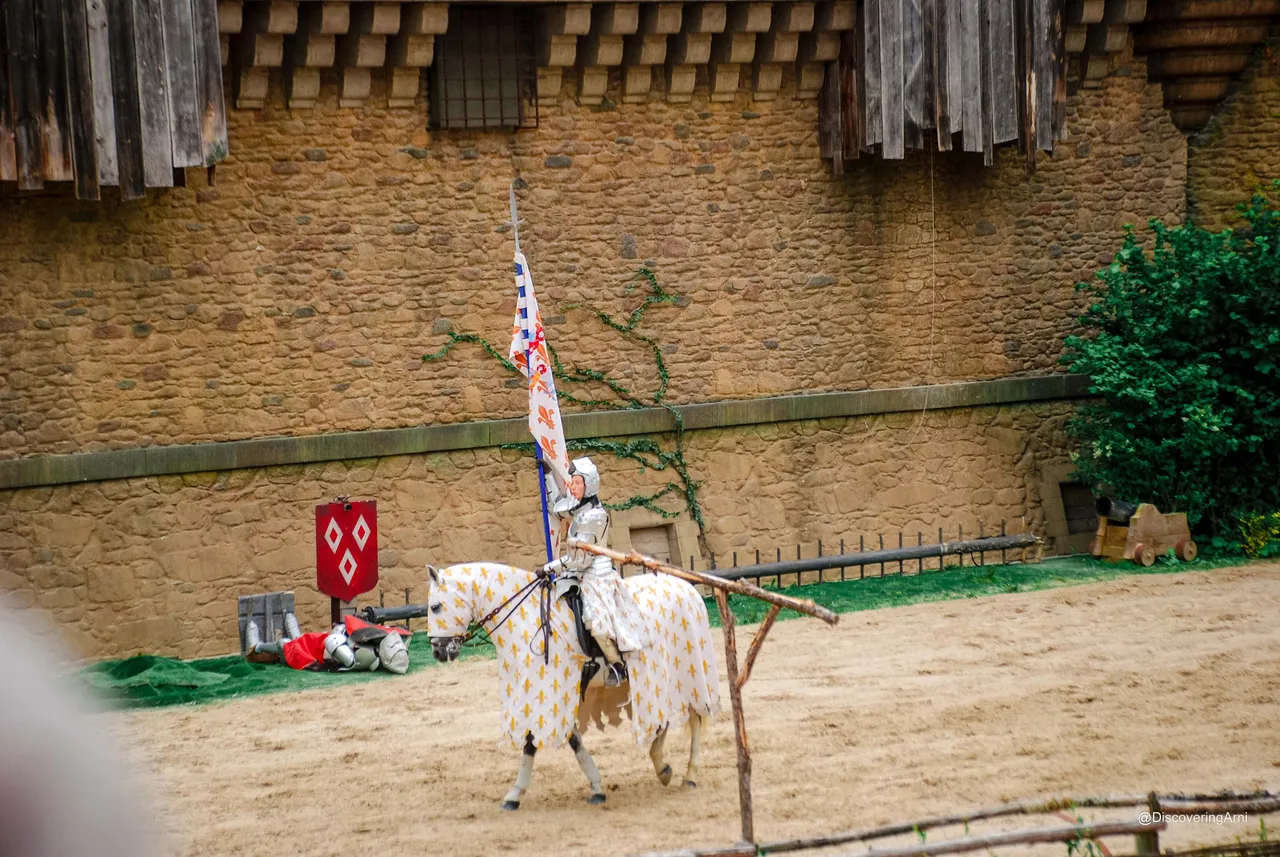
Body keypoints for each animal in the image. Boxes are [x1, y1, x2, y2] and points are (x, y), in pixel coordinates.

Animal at [422, 562, 716, 813]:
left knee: (694, 718)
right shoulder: (552, 693)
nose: (438, 651)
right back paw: (663, 767)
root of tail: (687, 588)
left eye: (435, 607)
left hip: (687, 673)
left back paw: (688, 774)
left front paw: (514, 795)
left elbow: (531, 742)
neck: (527, 619)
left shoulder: (545, 690)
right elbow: (573, 739)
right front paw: (596, 787)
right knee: (664, 718)